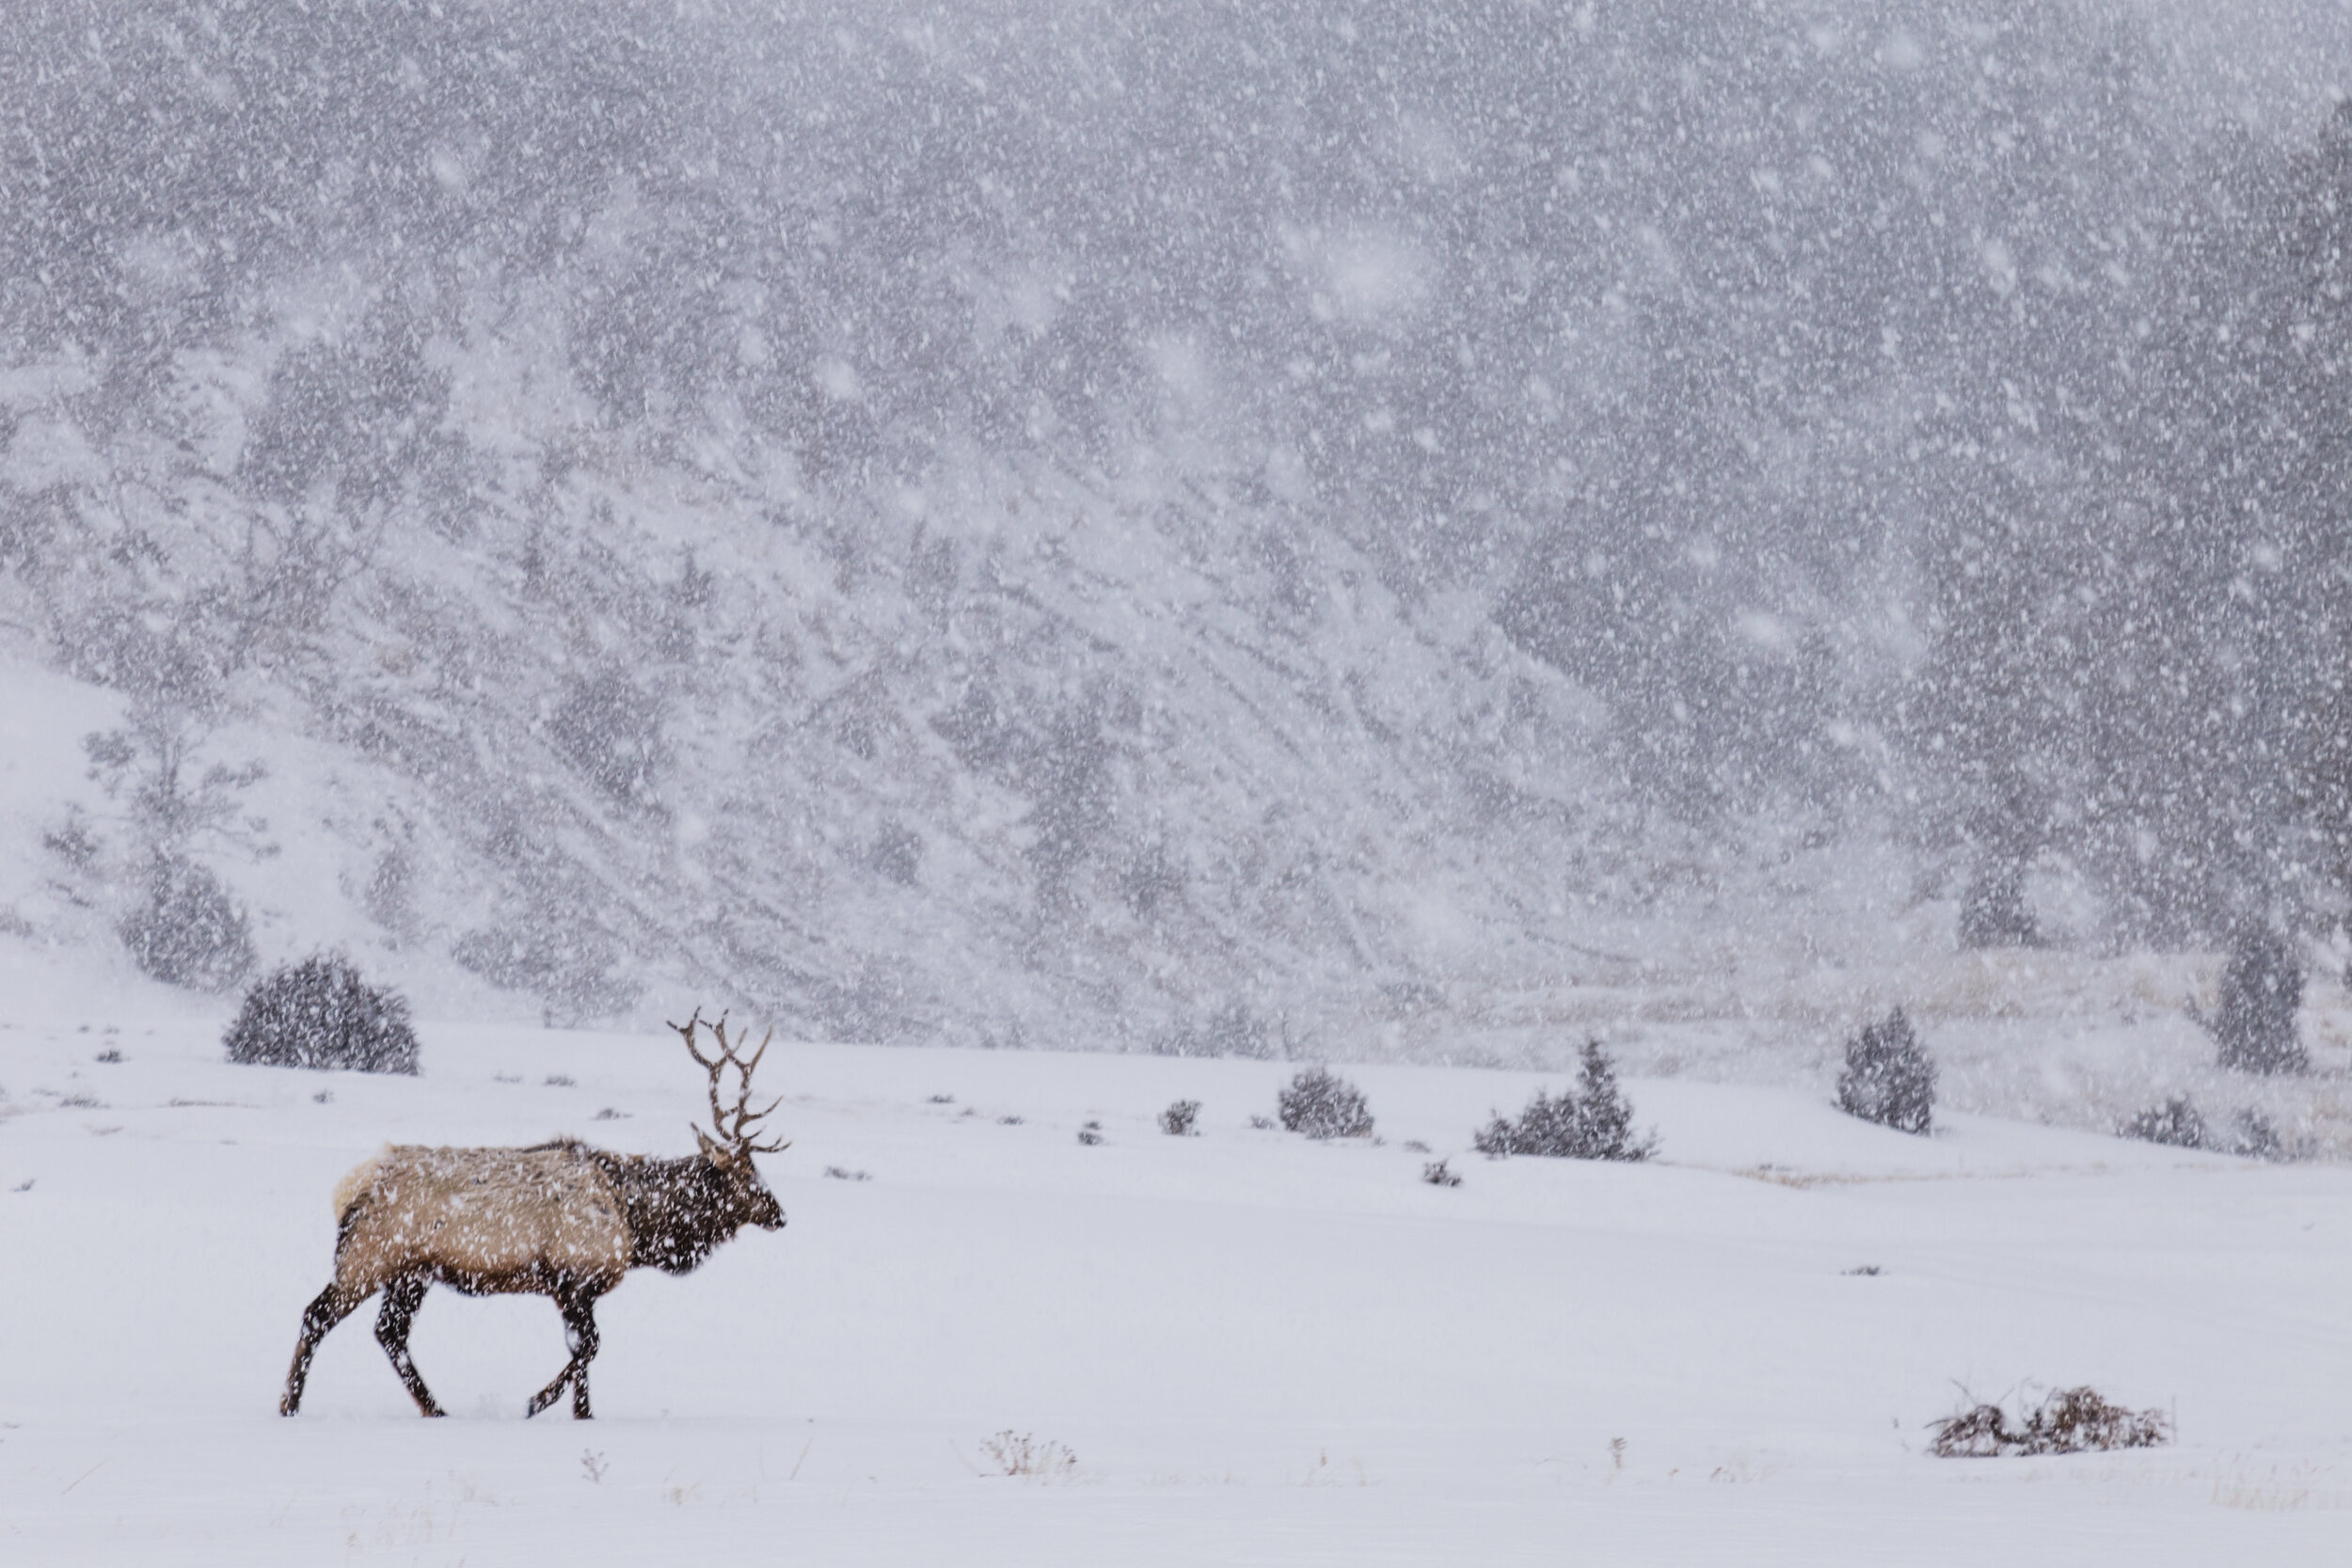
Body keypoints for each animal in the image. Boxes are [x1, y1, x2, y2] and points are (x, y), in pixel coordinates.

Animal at [275, 1010, 790, 1419]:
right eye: (745, 1174)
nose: (780, 1214)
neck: (636, 1221)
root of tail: (351, 1186)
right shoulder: (570, 1278)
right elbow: (591, 1346)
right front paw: (537, 1401)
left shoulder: (578, 1289)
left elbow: (584, 1351)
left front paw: (582, 1413)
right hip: (367, 1259)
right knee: (317, 1315)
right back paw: (290, 1405)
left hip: (410, 1273)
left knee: (389, 1333)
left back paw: (435, 1409)